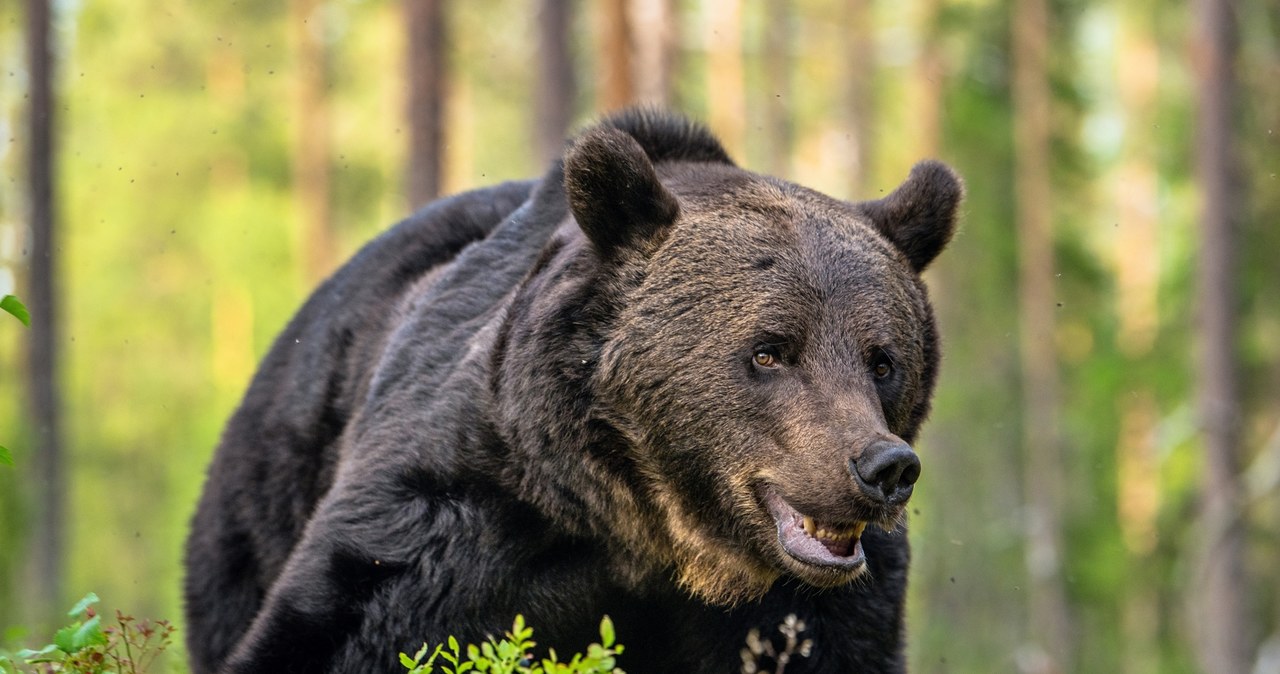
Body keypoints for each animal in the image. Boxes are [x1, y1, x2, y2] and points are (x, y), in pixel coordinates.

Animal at [180, 110, 962, 674]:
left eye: (882, 360)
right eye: (771, 350)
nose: (882, 467)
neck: (646, 531)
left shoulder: (819, 607)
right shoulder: (455, 518)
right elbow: (333, 625)